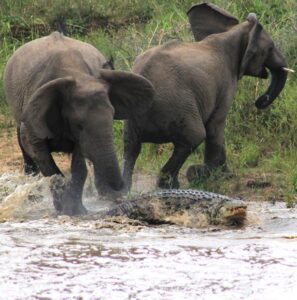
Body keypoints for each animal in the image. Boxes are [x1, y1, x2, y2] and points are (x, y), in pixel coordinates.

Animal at [4, 31, 155, 216]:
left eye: (112, 117)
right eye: (79, 125)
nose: (121, 193)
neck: (77, 75)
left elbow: (80, 164)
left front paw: (76, 211)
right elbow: (39, 152)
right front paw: (64, 209)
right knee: (26, 151)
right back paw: (33, 199)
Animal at [122, 2, 286, 190]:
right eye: (270, 48)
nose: (260, 101)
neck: (232, 32)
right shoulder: (226, 83)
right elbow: (216, 126)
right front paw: (222, 175)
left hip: (134, 115)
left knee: (130, 147)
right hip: (176, 105)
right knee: (194, 137)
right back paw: (175, 183)